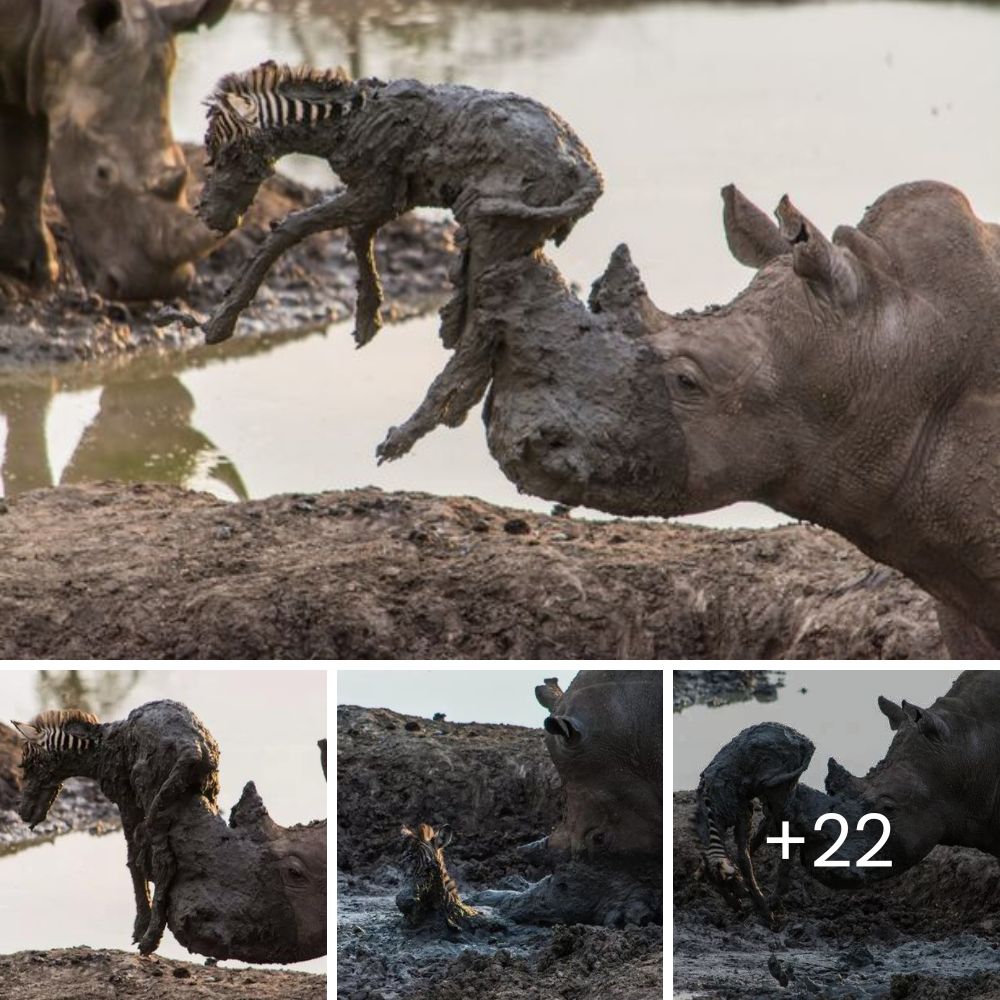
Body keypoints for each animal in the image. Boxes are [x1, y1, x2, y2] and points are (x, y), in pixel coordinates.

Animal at [12, 700, 219, 956]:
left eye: (27, 764)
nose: (22, 811)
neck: (99, 749)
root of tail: (193, 749)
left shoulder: (126, 799)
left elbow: (132, 861)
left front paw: (139, 929)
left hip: (153, 799)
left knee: (164, 863)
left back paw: (149, 941)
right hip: (204, 796)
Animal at [195, 64, 600, 462]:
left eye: (228, 153)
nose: (207, 215)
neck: (349, 120)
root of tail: (588, 171)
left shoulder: (373, 190)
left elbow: (290, 229)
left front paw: (219, 324)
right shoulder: (387, 197)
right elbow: (358, 235)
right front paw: (367, 319)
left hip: (494, 233)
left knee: (481, 330)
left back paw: (402, 438)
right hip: (513, 239)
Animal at [696, 724, 812, 924]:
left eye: (728, 880)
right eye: (720, 887)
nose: (738, 903)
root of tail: (804, 741)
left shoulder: (743, 812)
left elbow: (743, 858)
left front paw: (766, 911)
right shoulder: (745, 808)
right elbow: (743, 854)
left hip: (779, 788)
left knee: (788, 826)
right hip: (773, 790)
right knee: (772, 818)